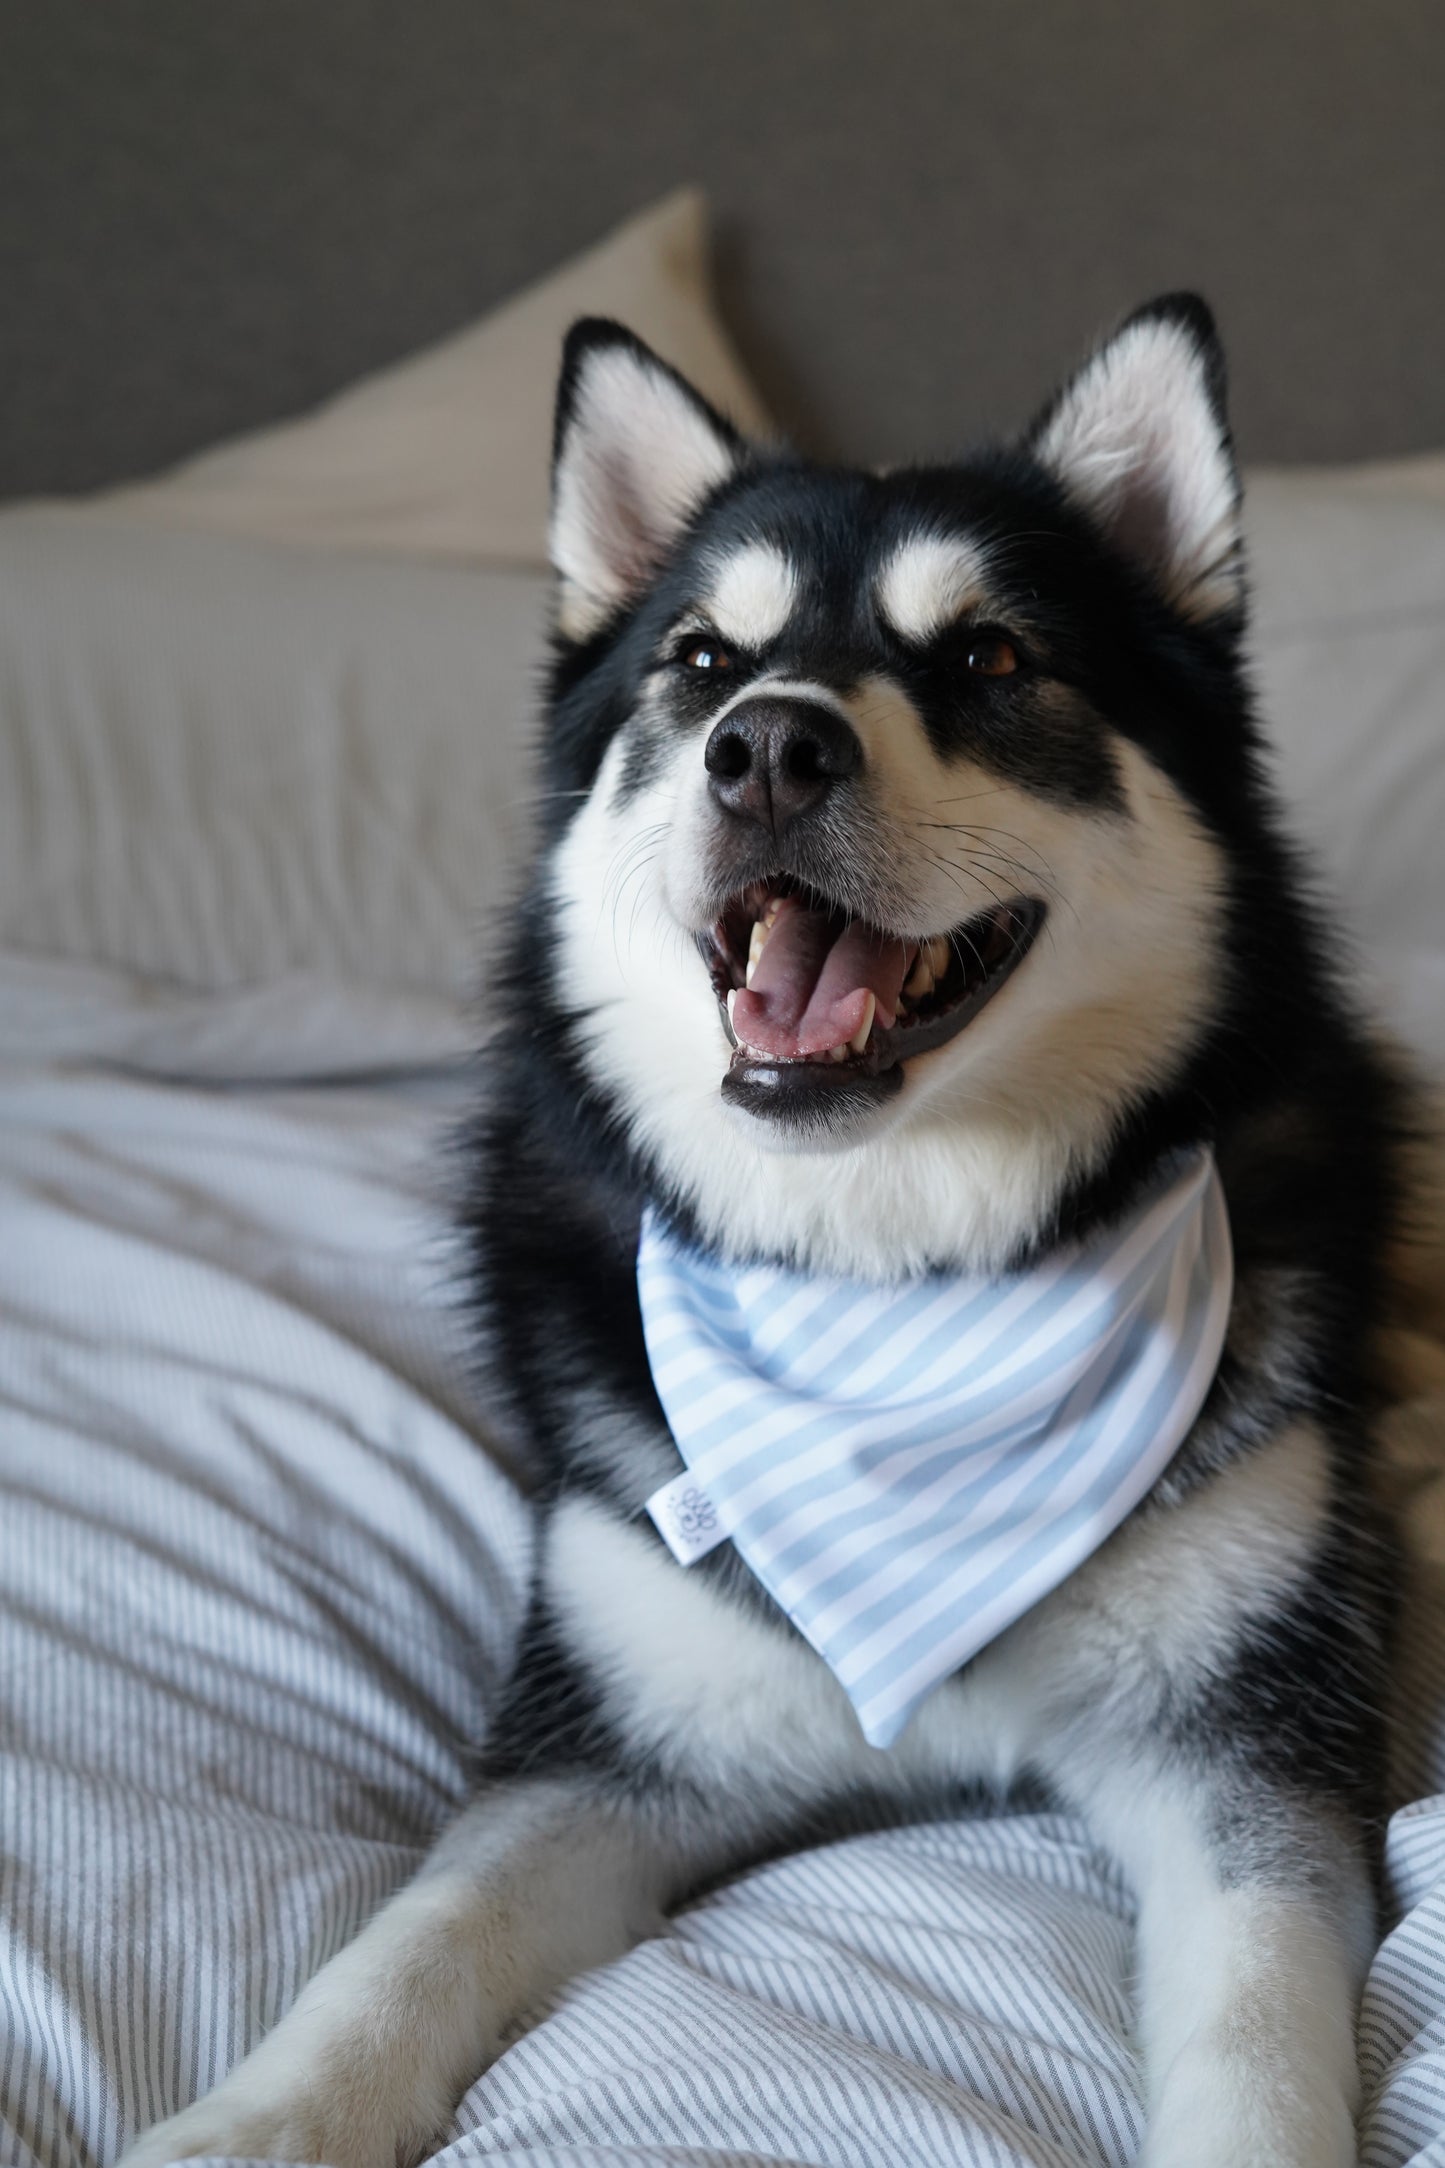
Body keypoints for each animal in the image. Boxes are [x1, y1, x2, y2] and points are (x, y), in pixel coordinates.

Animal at [124, 292, 1412, 2168]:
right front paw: (257, 2117)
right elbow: (417, 1931)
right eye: (700, 665)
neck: (897, 1275)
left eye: (992, 661)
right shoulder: (603, 1740)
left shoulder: (1253, 1743)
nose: (774, 747)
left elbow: (1253, 2024)